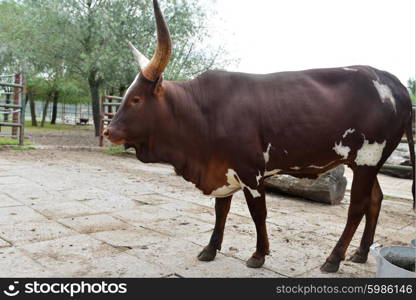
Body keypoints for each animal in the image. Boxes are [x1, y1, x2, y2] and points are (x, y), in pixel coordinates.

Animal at [105, 0, 414, 272]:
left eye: (135, 99)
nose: (109, 131)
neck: (202, 111)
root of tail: (394, 82)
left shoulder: (250, 172)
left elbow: (258, 212)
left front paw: (258, 254)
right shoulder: (223, 168)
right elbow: (221, 210)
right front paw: (210, 249)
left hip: (367, 160)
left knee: (357, 207)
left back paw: (333, 259)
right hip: (365, 163)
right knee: (375, 200)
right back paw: (360, 253)